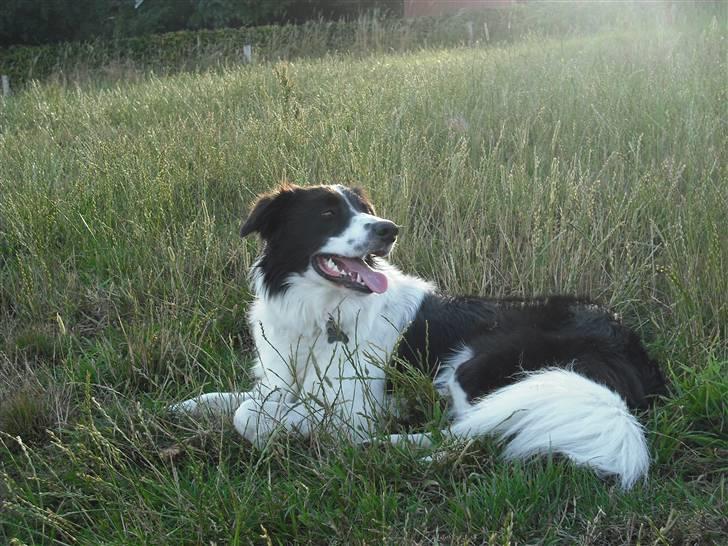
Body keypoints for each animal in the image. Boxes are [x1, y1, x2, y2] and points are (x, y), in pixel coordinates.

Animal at [175, 183, 664, 488]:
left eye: (365, 211)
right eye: (328, 213)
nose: (388, 229)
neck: (320, 314)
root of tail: (631, 346)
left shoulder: (351, 409)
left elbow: (252, 417)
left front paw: (279, 433)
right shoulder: (279, 380)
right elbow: (239, 400)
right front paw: (186, 407)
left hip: (478, 364)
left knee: (468, 435)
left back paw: (389, 448)